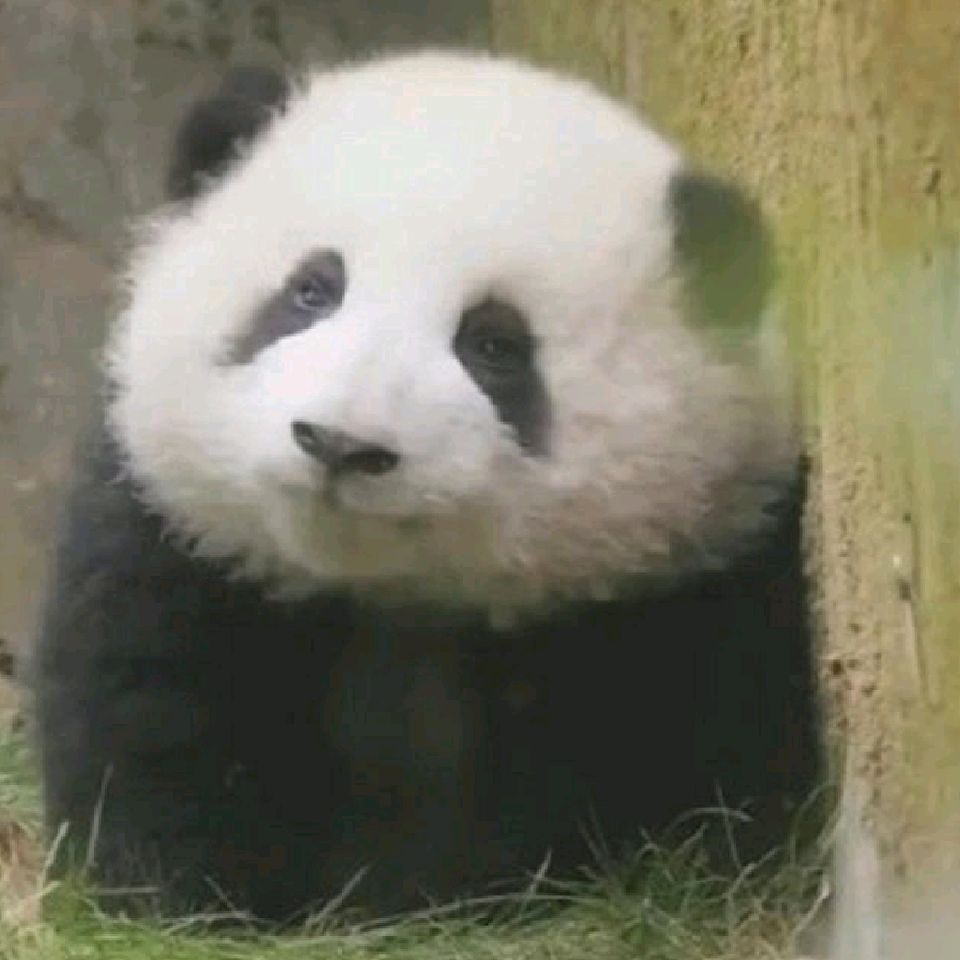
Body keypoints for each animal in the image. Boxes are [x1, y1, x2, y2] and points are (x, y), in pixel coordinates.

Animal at [31, 51, 820, 924]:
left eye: (494, 344)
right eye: (311, 290)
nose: (340, 443)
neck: (395, 595)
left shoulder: (706, 572)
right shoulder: (176, 536)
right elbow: (148, 712)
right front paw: (183, 892)